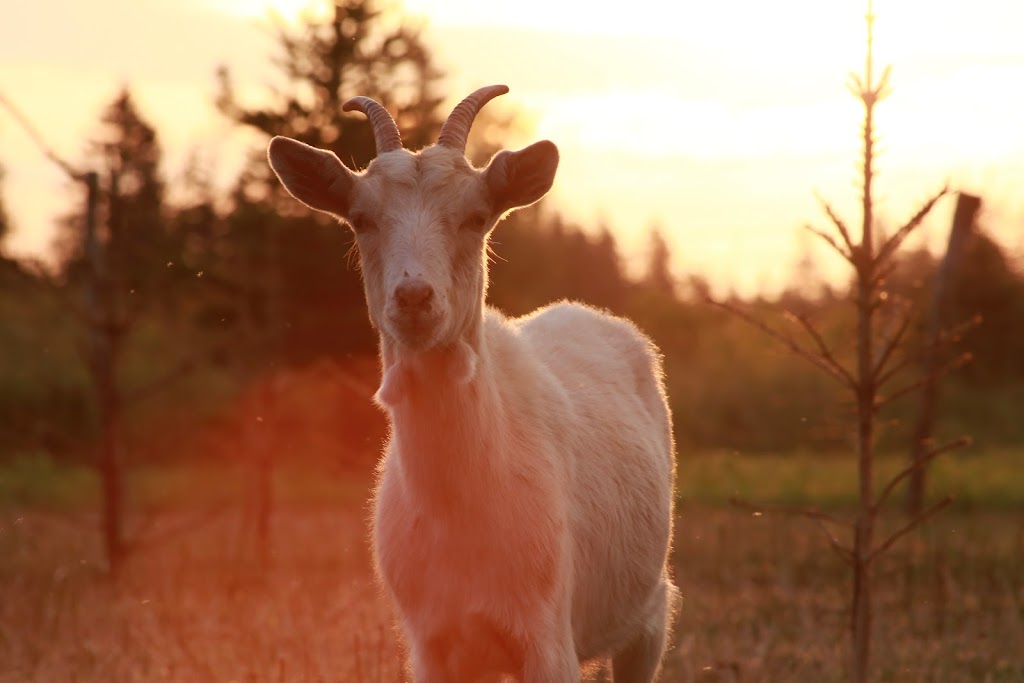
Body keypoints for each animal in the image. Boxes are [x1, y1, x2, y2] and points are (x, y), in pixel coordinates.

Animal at [266, 87, 679, 683]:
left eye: (476, 216)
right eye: (361, 219)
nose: (414, 298)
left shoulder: (549, 640)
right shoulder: (432, 643)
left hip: (650, 614)